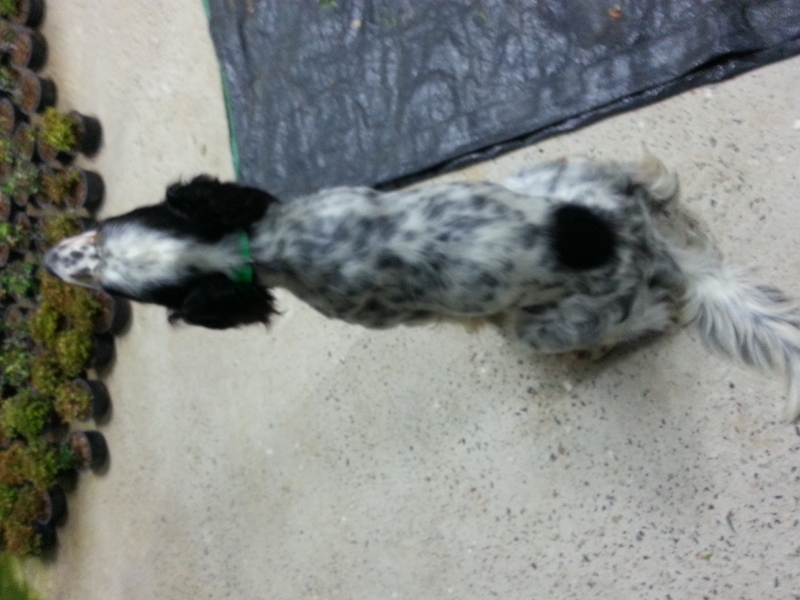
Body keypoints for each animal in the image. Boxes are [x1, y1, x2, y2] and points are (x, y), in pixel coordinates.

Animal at [44, 154, 800, 422]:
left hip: (545, 326)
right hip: (552, 174)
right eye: (101, 235)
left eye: (110, 276)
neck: (269, 242)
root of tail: (633, 238)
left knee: (646, 314)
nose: (50, 257)